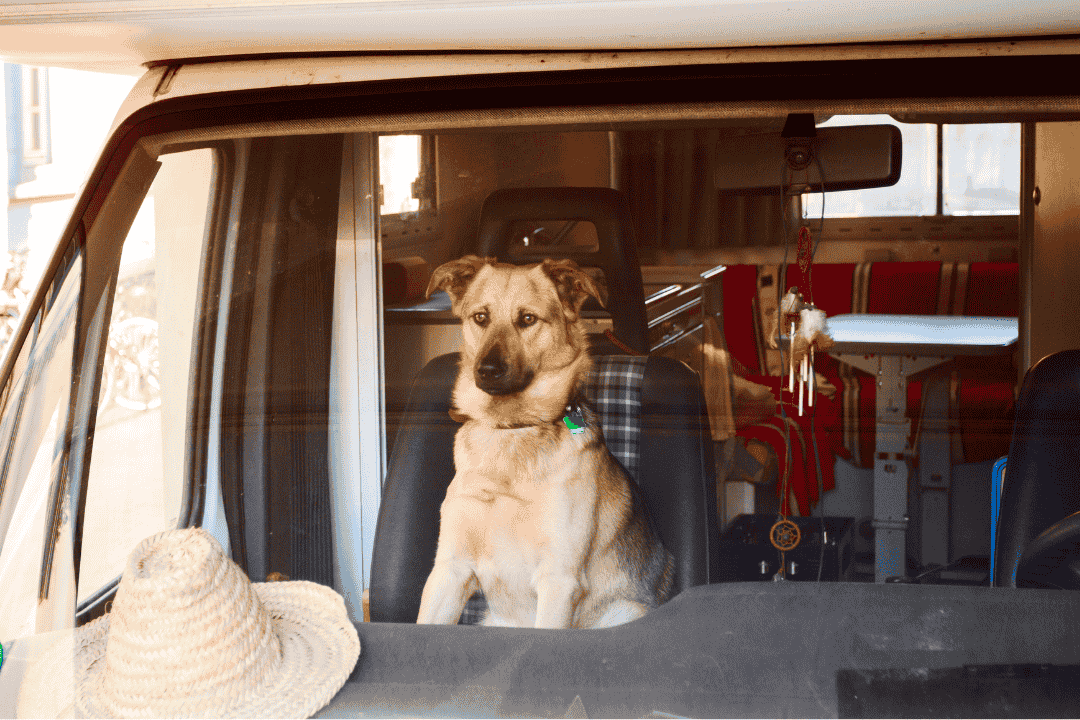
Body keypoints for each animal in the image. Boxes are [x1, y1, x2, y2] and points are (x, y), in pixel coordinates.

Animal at [414, 255, 673, 626]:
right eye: (480, 317)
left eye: (527, 319)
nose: (487, 370)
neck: (512, 428)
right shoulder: (449, 571)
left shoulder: (559, 580)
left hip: (624, 611)